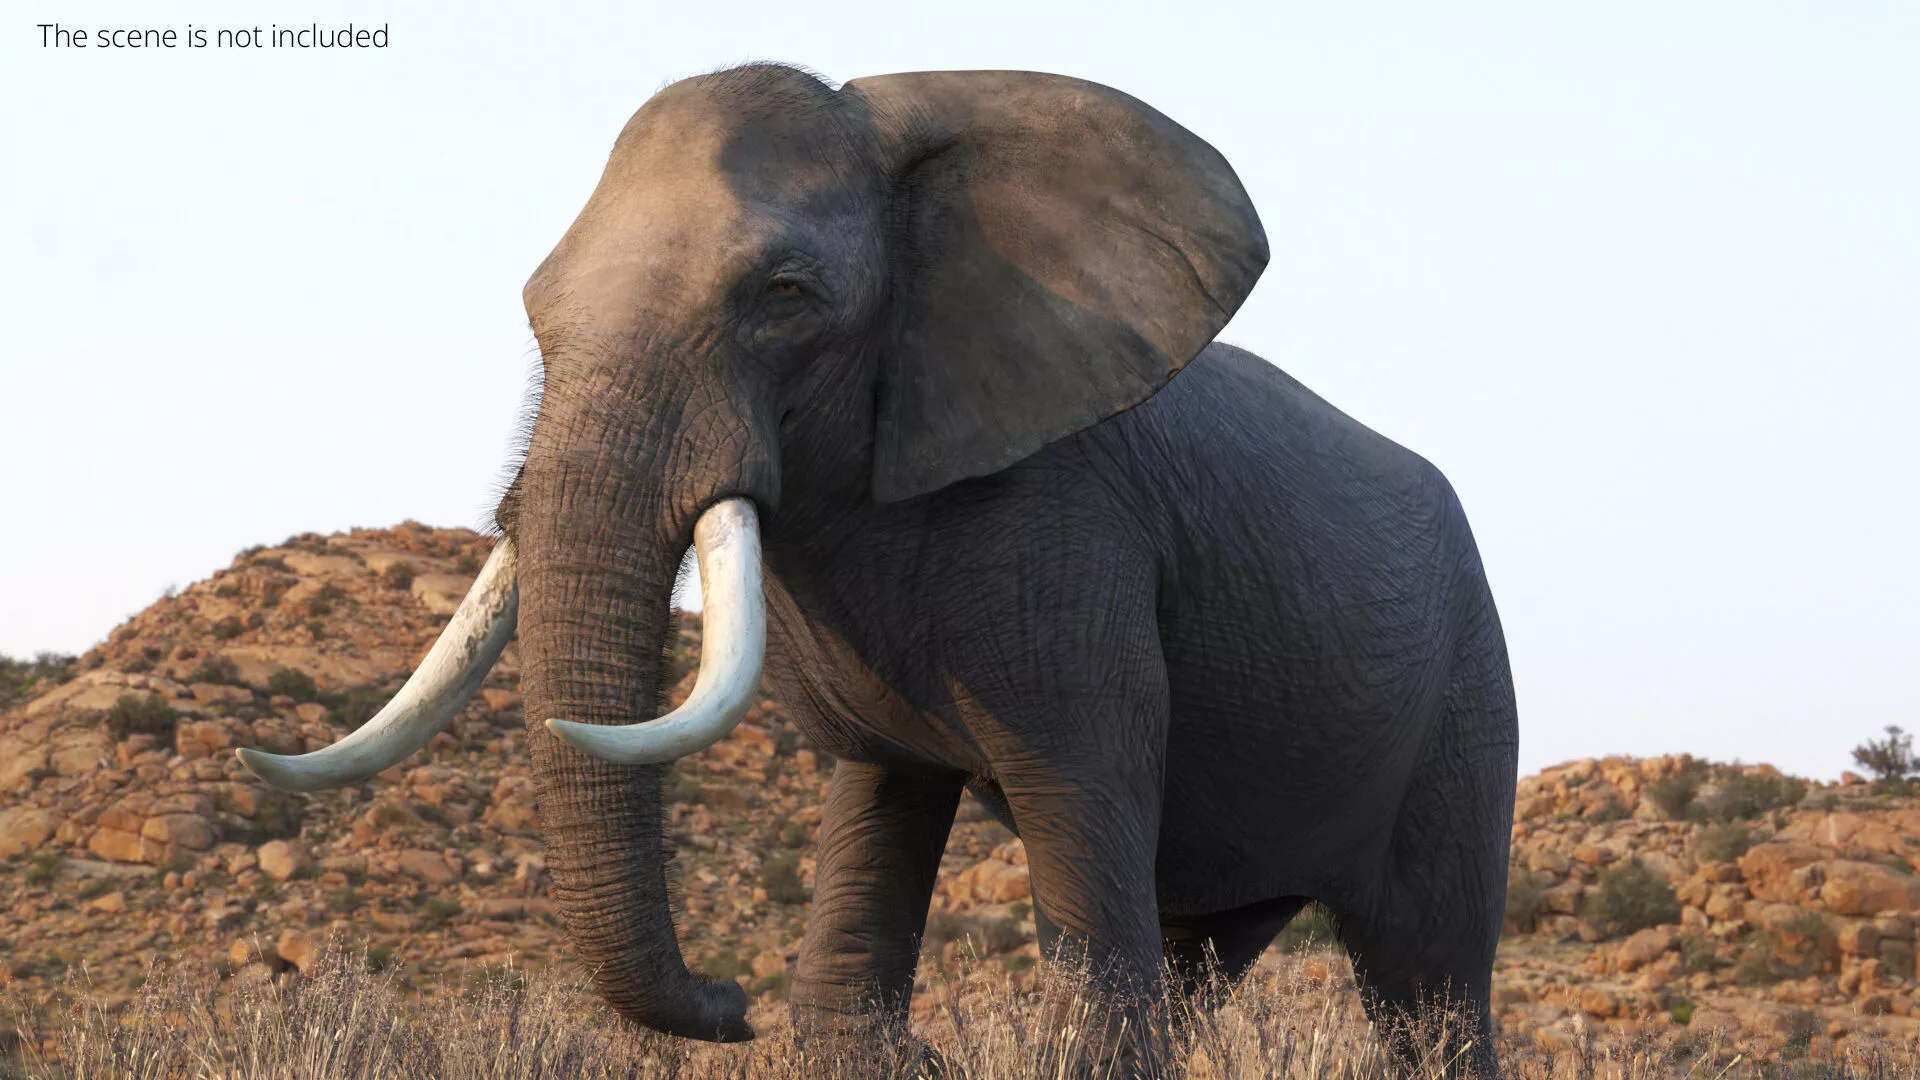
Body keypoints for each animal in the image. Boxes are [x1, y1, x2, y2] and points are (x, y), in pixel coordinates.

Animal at [239, 63, 1518, 1073]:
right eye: (535, 313)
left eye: (783, 296)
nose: (727, 1002)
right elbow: (871, 849)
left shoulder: (1076, 540)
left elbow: (1089, 917)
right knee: (1201, 953)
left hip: (1467, 694)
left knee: (1430, 987)